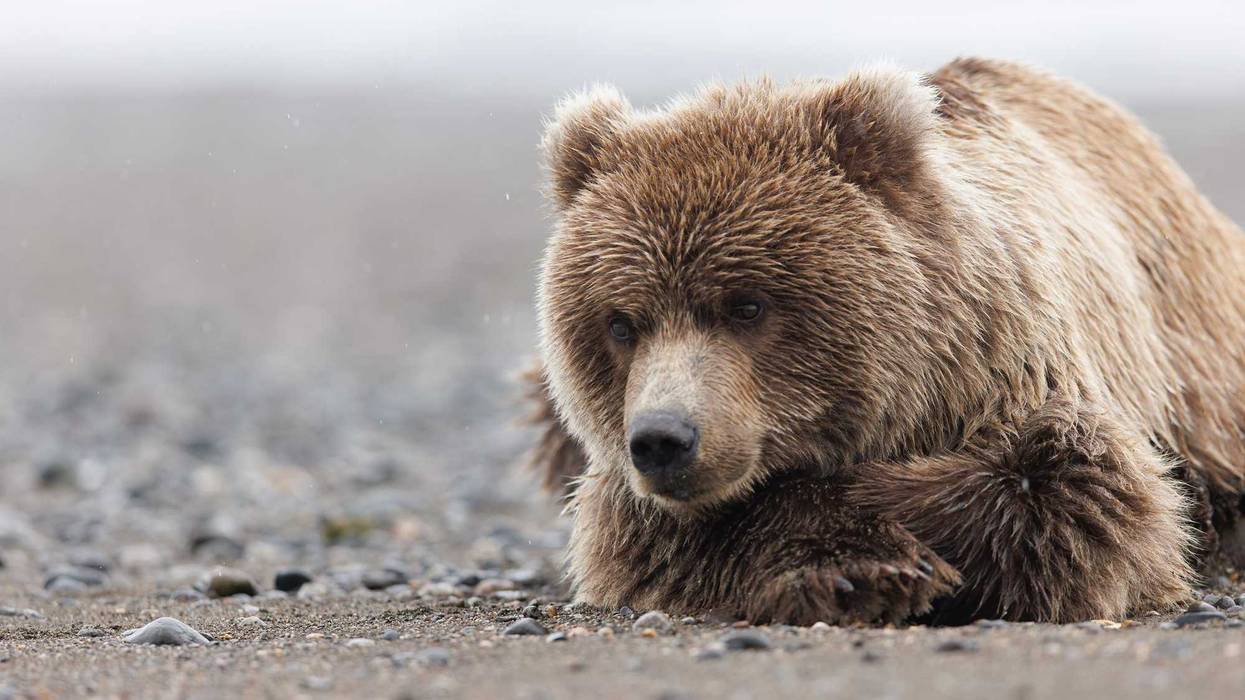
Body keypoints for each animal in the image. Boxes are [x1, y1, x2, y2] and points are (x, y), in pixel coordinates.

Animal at [527, 57, 1245, 625]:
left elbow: (1075, 493)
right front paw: (858, 571)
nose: (663, 439)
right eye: (621, 322)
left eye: (747, 305)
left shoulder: (1015, 368)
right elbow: (652, 534)